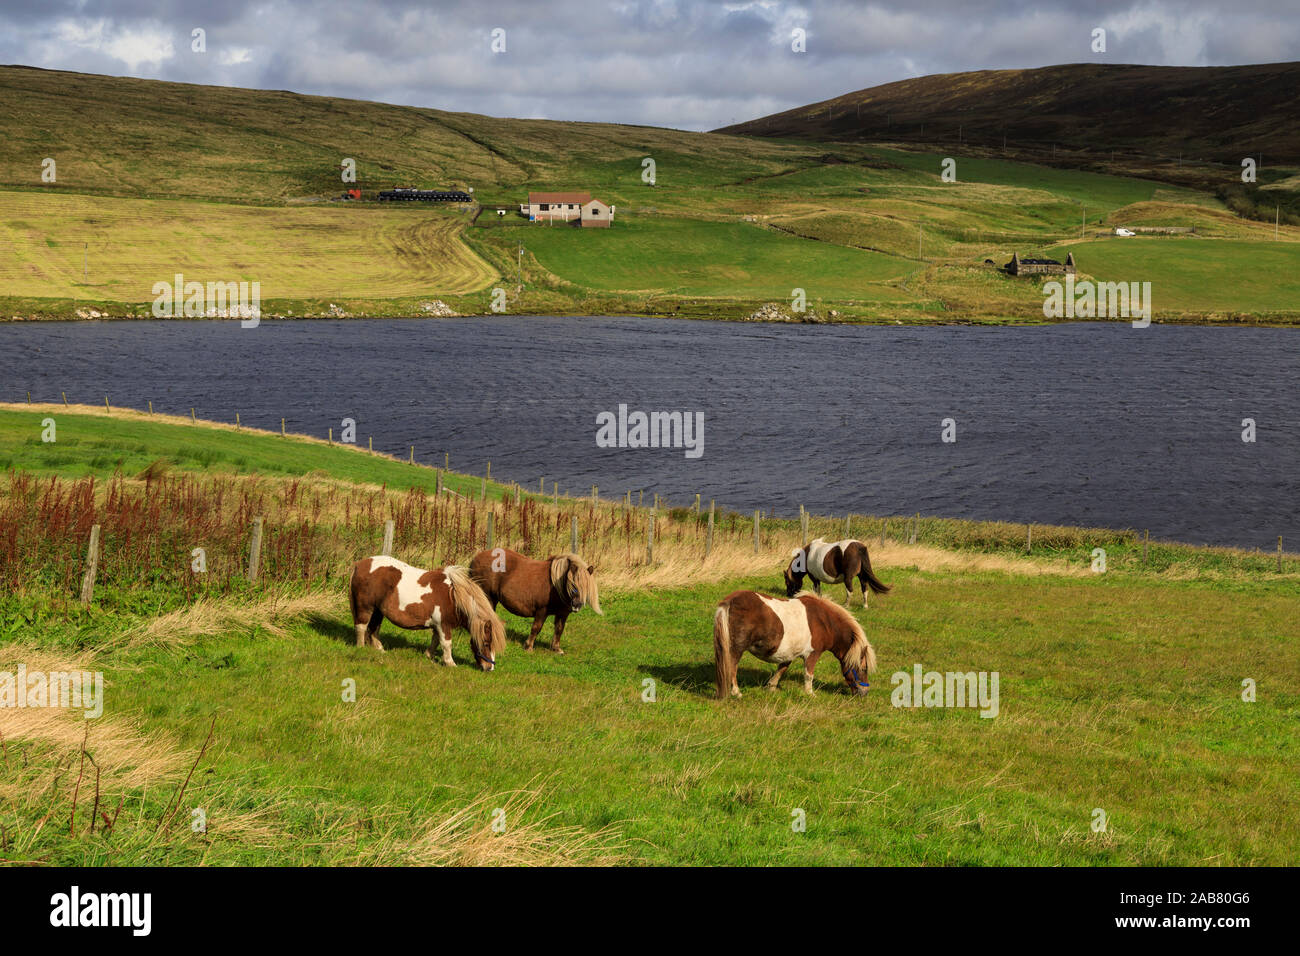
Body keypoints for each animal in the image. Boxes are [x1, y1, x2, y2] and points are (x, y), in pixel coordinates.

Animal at [467, 548, 603, 655]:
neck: (557, 586)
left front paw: (556, 648)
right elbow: (536, 628)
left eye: (587, 587)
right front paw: (529, 646)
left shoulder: (563, 614)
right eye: (573, 585)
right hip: (487, 596)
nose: (576, 606)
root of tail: (476, 558)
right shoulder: (541, 611)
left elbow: (559, 629)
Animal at [717, 587, 878, 697]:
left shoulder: (788, 653)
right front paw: (810, 694)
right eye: (864, 669)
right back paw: (736, 692)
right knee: (732, 667)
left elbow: (782, 669)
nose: (865, 693)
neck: (825, 621)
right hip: (736, 650)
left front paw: (771, 688)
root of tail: (730, 601)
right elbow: (808, 675)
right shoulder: (813, 654)